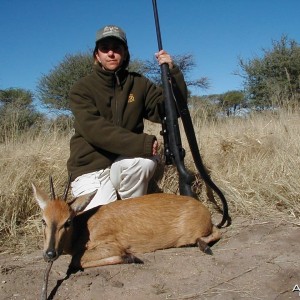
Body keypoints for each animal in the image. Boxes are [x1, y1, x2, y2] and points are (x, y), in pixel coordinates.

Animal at [32, 176, 220, 270]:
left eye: (68, 221)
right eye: (43, 220)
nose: (49, 253)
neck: (84, 226)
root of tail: (203, 209)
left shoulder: (111, 245)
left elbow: (76, 261)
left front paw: (131, 257)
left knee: (216, 232)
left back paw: (204, 247)